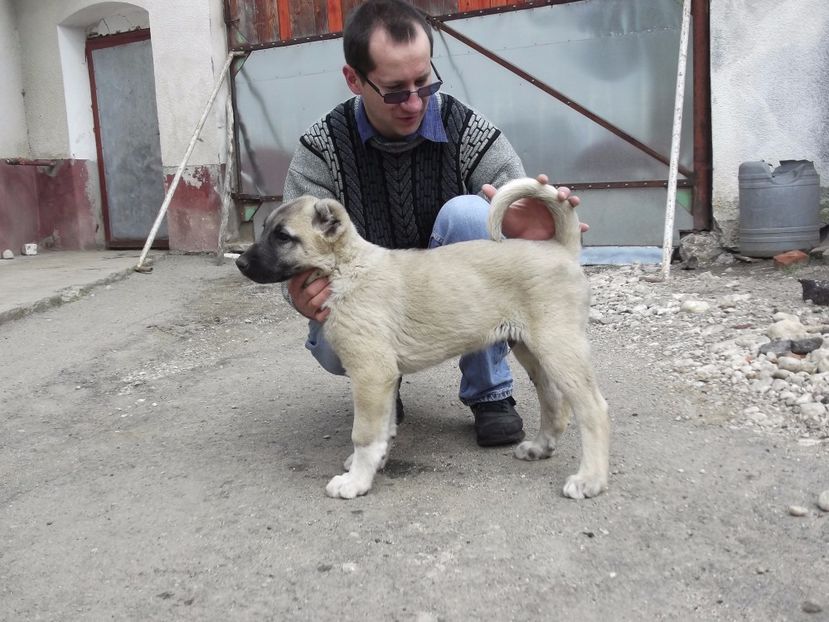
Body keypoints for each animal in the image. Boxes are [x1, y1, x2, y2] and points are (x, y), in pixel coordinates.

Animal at [236, 178, 612, 500]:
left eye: (283, 236)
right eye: (267, 230)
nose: (239, 263)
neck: (346, 268)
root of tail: (560, 248)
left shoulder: (370, 374)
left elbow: (364, 434)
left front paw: (356, 481)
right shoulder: (383, 378)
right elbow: (384, 428)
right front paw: (373, 464)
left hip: (558, 347)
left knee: (593, 409)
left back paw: (590, 479)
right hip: (533, 351)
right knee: (555, 402)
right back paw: (540, 447)